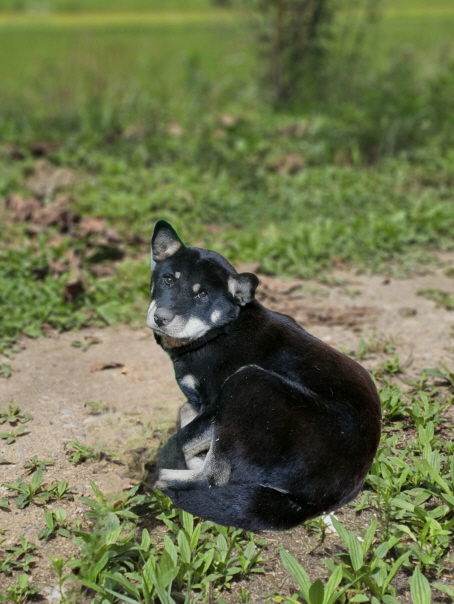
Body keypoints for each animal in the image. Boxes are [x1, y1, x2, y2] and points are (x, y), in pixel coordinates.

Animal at [147, 221, 382, 528]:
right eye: (167, 280)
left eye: (203, 295)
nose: (160, 318)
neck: (221, 331)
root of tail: (311, 503)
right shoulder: (200, 407)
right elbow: (184, 415)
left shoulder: (215, 407)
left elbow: (178, 440)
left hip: (249, 382)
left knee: (213, 479)